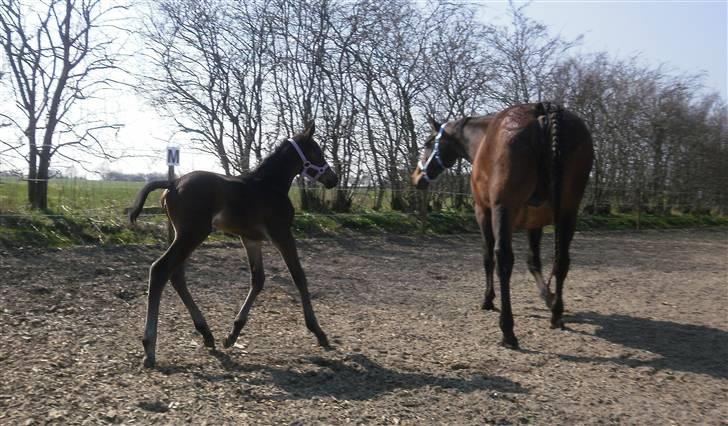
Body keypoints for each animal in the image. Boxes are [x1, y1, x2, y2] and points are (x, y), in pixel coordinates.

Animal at [129, 121, 336, 368]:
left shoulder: (251, 239)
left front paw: (232, 334)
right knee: (160, 270)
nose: (333, 179)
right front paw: (319, 333)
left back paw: (207, 334)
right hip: (193, 234)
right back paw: (149, 348)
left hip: (182, 235)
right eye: (316, 152)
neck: (269, 186)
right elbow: (299, 276)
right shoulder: (281, 234)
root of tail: (174, 182)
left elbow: (258, 279)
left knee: (176, 275)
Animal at [412, 104, 596, 350]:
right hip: (568, 212)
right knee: (562, 260)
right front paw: (549, 298)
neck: (482, 138)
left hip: (504, 209)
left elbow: (488, 257)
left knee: (504, 260)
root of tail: (544, 112)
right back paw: (556, 313)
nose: (416, 178)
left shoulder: (484, 213)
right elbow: (533, 261)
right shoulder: (535, 222)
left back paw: (507, 330)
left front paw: (488, 300)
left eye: (427, 143)